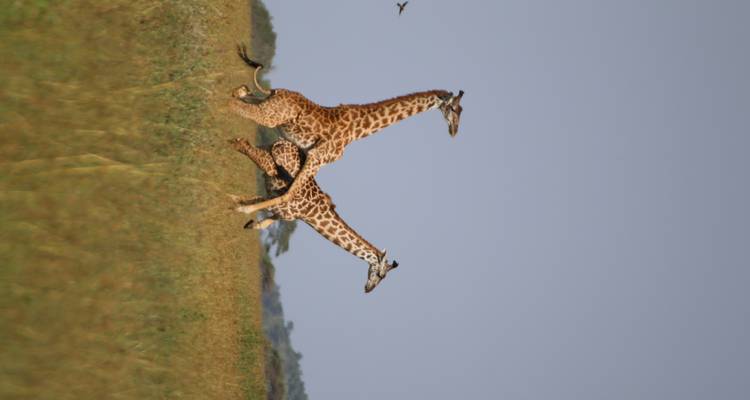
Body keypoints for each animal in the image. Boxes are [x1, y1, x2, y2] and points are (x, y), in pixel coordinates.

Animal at [228, 44, 464, 216]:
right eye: (454, 108)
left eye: (461, 110)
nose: (454, 132)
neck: (357, 131)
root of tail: (276, 91)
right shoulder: (317, 157)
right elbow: (289, 193)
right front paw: (243, 208)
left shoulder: (309, 156)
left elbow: (283, 184)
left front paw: (241, 202)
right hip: (269, 116)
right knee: (236, 106)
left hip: (263, 104)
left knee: (239, 94)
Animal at [229, 137, 399, 293]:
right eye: (380, 274)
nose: (368, 289)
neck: (310, 216)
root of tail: (283, 142)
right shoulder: (280, 205)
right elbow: (256, 207)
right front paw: (238, 208)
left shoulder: (282, 212)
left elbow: (259, 219)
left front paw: (234, 202)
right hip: (271, 164)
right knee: (248, 149)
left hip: (267, 151)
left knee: (247, 144)